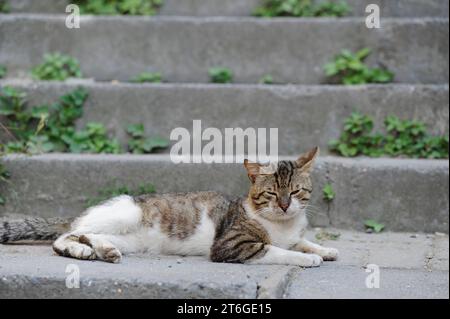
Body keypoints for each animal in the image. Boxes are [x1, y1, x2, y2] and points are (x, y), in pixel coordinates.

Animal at [0, 148, 338, 268]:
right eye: (270, 193)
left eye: (295, 191)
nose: (284, 205)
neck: (283, 225)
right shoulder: (232, 245)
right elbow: (277, 250)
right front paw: (306, 259)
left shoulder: (294, 233)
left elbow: (302, 241)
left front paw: (324, 249)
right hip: (125, 213)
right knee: (68, 235)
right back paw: (82, 249)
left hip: (129, 240)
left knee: (89, 235)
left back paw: (104, 250)